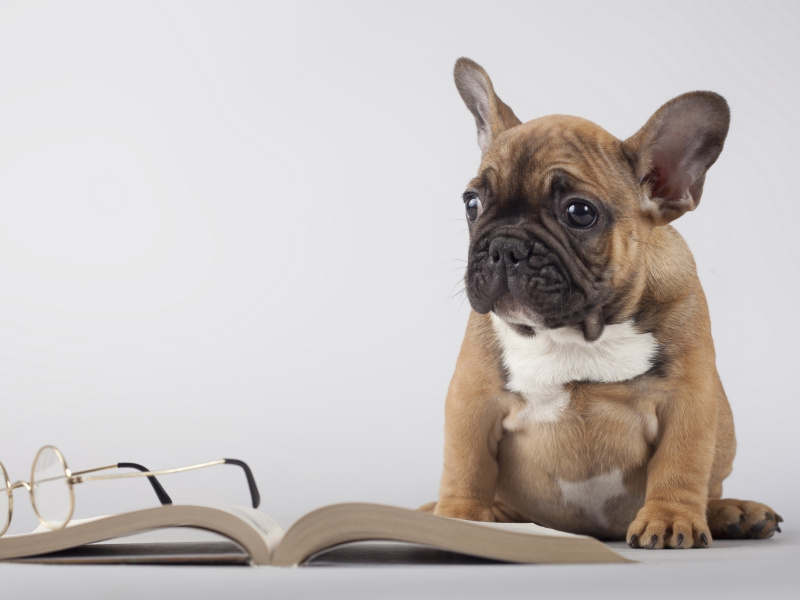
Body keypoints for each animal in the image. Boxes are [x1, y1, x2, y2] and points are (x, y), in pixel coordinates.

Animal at [428, 57, 784, 548]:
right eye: (472, 203)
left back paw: (732, 511)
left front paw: (670, 518)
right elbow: (466, 465)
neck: (578, 331)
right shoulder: (472, 399)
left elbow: (681, 463)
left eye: (580, 213)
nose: (504, 246)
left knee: (708, 485)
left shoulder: (689, 399)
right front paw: (460, 520)